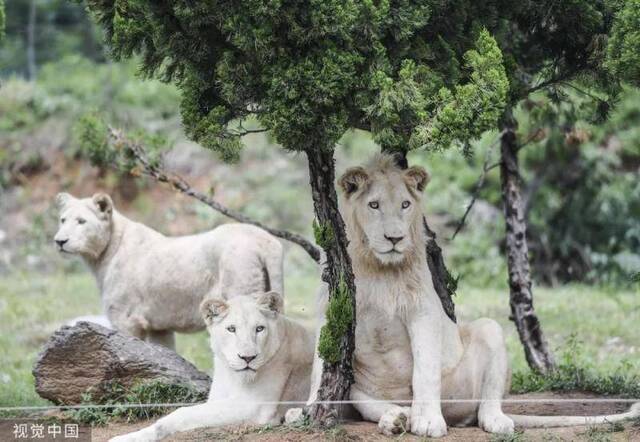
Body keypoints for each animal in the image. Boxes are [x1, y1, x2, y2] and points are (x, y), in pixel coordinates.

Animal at [53, 193, 284, 348]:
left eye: (81, 221)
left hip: (239, 279)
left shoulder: (125, 317)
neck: (102, 256)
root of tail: (266, 241)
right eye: (63, 219)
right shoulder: (158, 325)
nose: (60, 241)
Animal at [110, 292, 316, 440]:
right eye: (231, 329)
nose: (248, 358)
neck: (232, 376)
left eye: (260, 329)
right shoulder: (217, 399)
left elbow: (181, 413)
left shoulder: (255, 405)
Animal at [296, 155, 640, 436]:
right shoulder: (331, 311)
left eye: (405, 205)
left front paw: (428, 421)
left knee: (486, 401)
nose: (395, 238)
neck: (378, 268)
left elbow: (425, 370)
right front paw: (306, 410)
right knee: (374, 404)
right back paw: (396, 418)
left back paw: (490, 421)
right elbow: (318, 369)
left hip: (486, 339)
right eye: (374, 205)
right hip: (358, 388)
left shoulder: (423, 311)